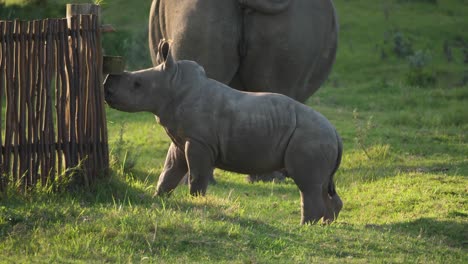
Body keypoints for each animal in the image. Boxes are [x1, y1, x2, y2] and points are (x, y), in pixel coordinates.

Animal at [103, 42, 344, 224]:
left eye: (137, 84)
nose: (106, 87)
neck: (173, 84)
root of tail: (335, 132)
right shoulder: (181, 138)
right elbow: (169, 171)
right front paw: (158, 198)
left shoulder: (198, 140)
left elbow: (196, 175)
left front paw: (196, 203)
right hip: (318, 138)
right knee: (322, 184)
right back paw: (325, 225)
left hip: (310, 138)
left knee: (308, 185)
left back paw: (305, 226)